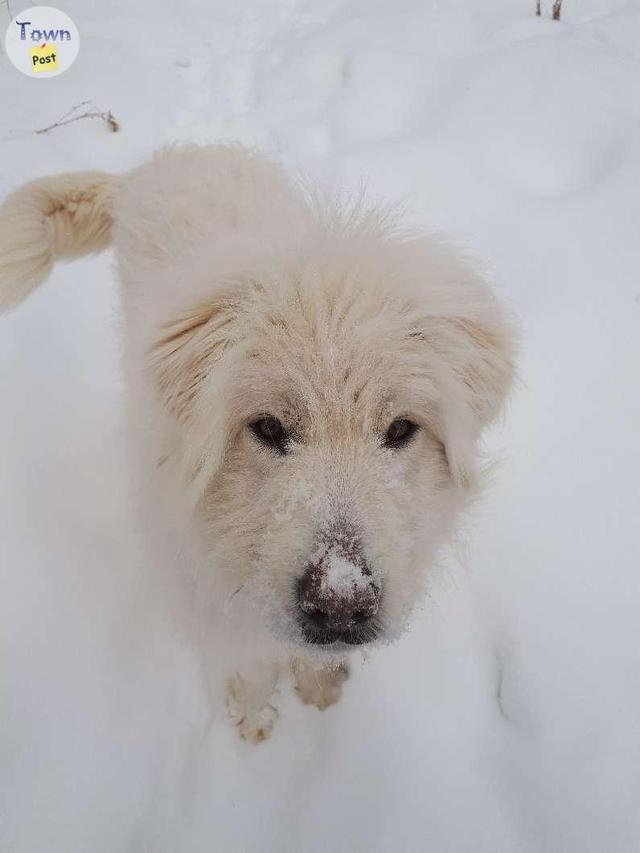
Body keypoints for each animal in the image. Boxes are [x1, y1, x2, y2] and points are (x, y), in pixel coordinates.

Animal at [0, 146, 516, 740]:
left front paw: (318, 691)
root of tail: (158, 162)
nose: (341, 603)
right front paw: (253, 721)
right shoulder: (216, 606)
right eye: (268, 428)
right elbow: (250, 668)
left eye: (401, 429)